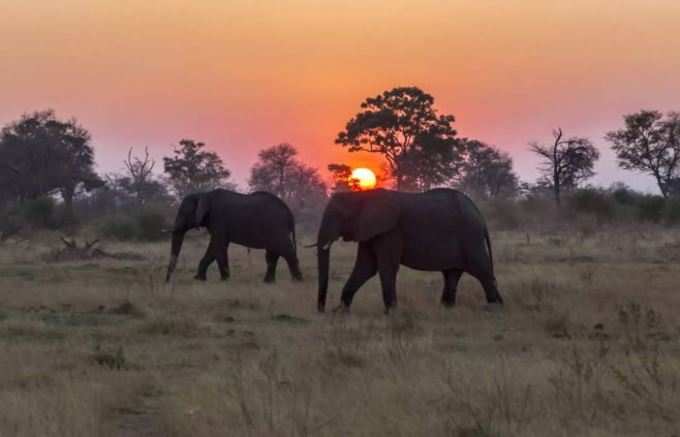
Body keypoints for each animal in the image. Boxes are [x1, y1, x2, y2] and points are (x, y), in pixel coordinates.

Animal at [165, 189, 302, 284]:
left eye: (183, 213)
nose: (166, 282)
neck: (204, 194)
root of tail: (290, 212)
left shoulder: (218, 219)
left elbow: (218, 245)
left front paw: (222, 280)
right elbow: (217, 247)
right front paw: (201, 279)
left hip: (276, 226)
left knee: (285, 250)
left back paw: (297, 282)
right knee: (272, 253)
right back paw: (268, 283)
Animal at [316, 187, 502, 314]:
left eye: (338, 215)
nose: (322, 311)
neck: (361, 195)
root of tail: (480, 215)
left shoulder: (390, 231)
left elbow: (386, 267)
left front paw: (391, 313)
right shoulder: (370, 231)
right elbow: (366, 267)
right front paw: (341, 312)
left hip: (470, 236)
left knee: (481, 269)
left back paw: (495, 308)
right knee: (452, 274)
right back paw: (446, 309)